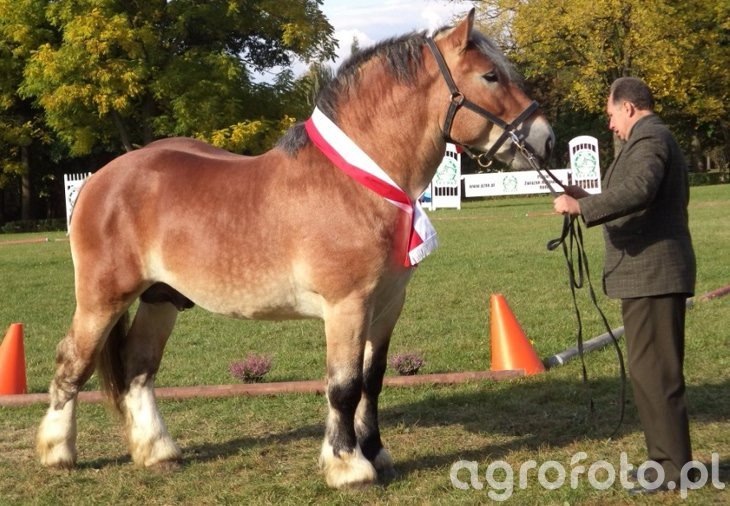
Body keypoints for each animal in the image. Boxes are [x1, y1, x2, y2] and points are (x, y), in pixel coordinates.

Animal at [37, 10, 554, 488]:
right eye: (490, 76)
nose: (544, 138)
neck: (354, 183)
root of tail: (98, 180)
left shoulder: (386, 305)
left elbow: (372, 381)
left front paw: (375, 453)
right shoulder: (347, 305)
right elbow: (343, 387)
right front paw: (348, 467)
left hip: (161, 298)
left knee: (139, 368)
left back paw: (158, 452)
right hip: (102, 300)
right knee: (72, 364)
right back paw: (58, 452)